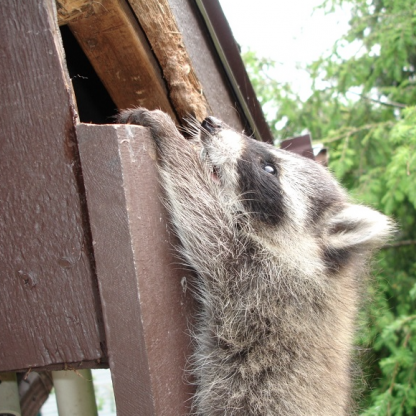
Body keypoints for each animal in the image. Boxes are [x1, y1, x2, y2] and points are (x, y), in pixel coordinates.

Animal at [116, 108, 394, 416]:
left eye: (270, 169)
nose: (210, 123)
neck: (315, 266)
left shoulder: (261, 284)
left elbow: (204, 219)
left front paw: (172, 140)